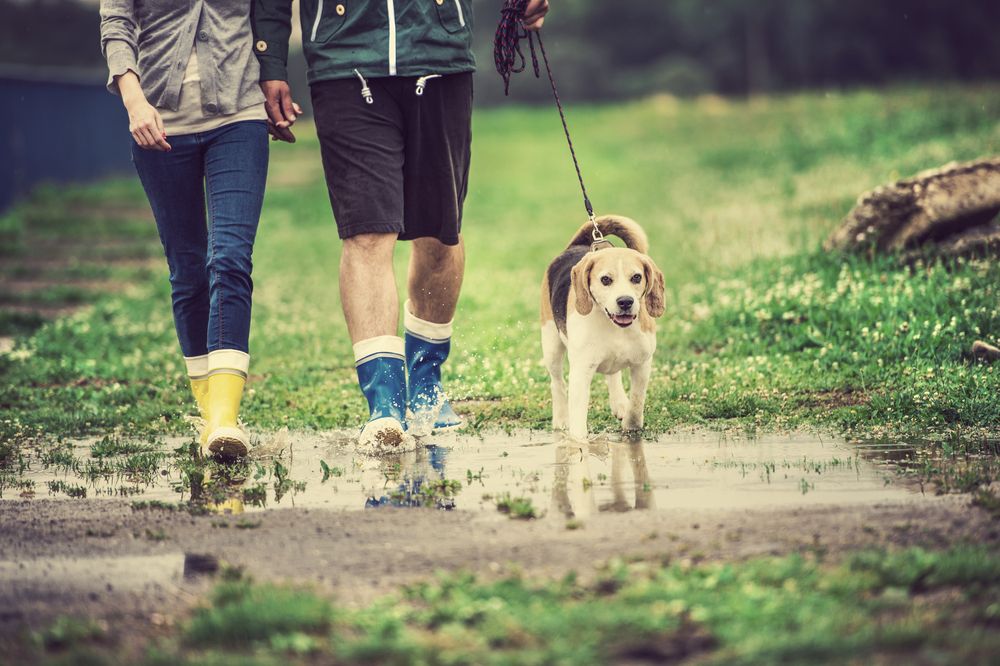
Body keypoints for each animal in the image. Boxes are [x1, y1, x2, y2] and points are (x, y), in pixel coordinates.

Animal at [540, 215, 664, 438]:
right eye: (606, 280)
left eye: (637, 277)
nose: (625, 301)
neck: (615, 327)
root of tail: (576, 246)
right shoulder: (581, 371)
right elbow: (578, 421)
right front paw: (579, 442)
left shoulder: (642, 363)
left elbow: (637, 401)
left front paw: (631, 426)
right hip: (551, 345)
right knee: (557, 383)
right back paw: (561, 419)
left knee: (612, 374)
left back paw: (619, 403)